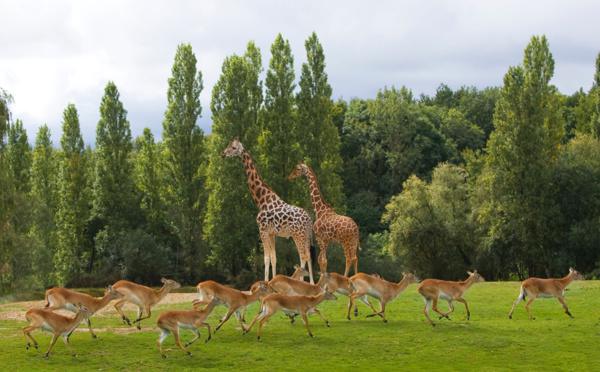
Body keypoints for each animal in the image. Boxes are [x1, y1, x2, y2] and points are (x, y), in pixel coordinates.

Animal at [220, 138, 314, 284]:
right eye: (229, 145)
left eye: (234, 148)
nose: (223, 153)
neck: (261, 200)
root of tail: (309, 219)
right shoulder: (272, 234)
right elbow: (274, 258)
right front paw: (273, 281)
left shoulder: (262, 230)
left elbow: (266, 258)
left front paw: (265, 282)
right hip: (305, 236)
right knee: (308, 255)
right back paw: (311, 283)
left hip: (297, 235)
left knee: (303, 256)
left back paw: (301, 282)